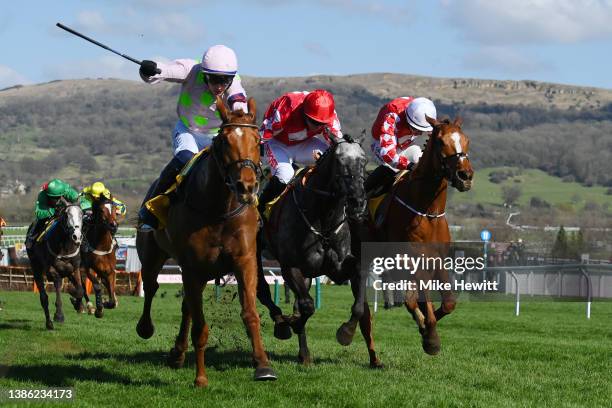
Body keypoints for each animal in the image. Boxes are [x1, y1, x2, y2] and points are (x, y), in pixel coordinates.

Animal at [136, 97, 274, 388]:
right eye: (224, 141)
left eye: (258, 141)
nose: (247, 187)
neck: (218, 210)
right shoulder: (192, 266)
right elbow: (200, 326)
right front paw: (200, 377)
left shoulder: (244, 260)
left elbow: (250, 313)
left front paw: (263, 365)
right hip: (153, 256)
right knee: (152, 286)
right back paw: (146, 328)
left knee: (186, 305)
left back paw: (178, 353)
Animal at [366, 115, 476, 354]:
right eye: (441, 142)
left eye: (466, 140)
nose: (465, 176)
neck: (427, 211)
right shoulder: (412, 259)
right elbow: (423, 301)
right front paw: (431, 337)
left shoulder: (438, 259)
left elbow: (447, 303)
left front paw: (426, 328)